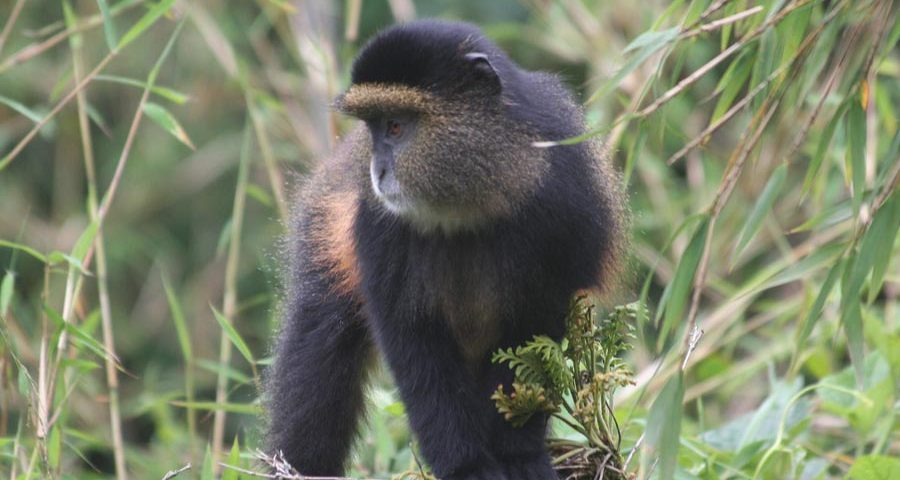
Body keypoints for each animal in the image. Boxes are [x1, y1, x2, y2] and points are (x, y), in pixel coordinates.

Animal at [266, 19, 625, 480]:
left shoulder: (566, 205)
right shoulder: (377, 230)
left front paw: (519, 454)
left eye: (396, 127)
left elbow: (533, 335)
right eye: (373, 128)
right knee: (320, 358)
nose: (376, 171)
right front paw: (466, 466)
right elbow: (413, 345)